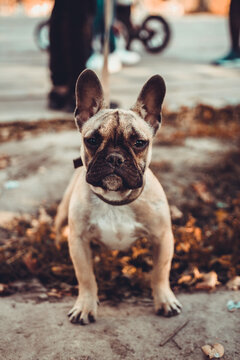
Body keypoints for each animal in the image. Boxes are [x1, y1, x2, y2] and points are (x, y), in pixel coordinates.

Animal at [54, 69, 182, 324]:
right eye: (92, 140)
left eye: (140, 143)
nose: (114, 157)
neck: (114, 200)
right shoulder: (78, 240)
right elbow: (85, 276)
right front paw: (85, 305)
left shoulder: (162, 238)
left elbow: (160, 272)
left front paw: (164, 300)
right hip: (62, 216)